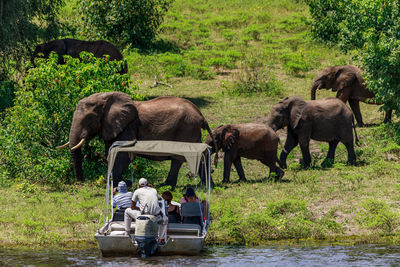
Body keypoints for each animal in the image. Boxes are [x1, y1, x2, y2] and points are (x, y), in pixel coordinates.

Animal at [57, 92, 216, 188]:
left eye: (89, 118)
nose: (81, 180)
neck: (106, 98)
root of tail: (200, 115)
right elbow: (111, 152)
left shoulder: (128, 127)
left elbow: (122, 155)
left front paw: (119, 183)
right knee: (200, 154)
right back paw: (207, 185)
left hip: (186, 128)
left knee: (179, 158)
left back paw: (166, 186)